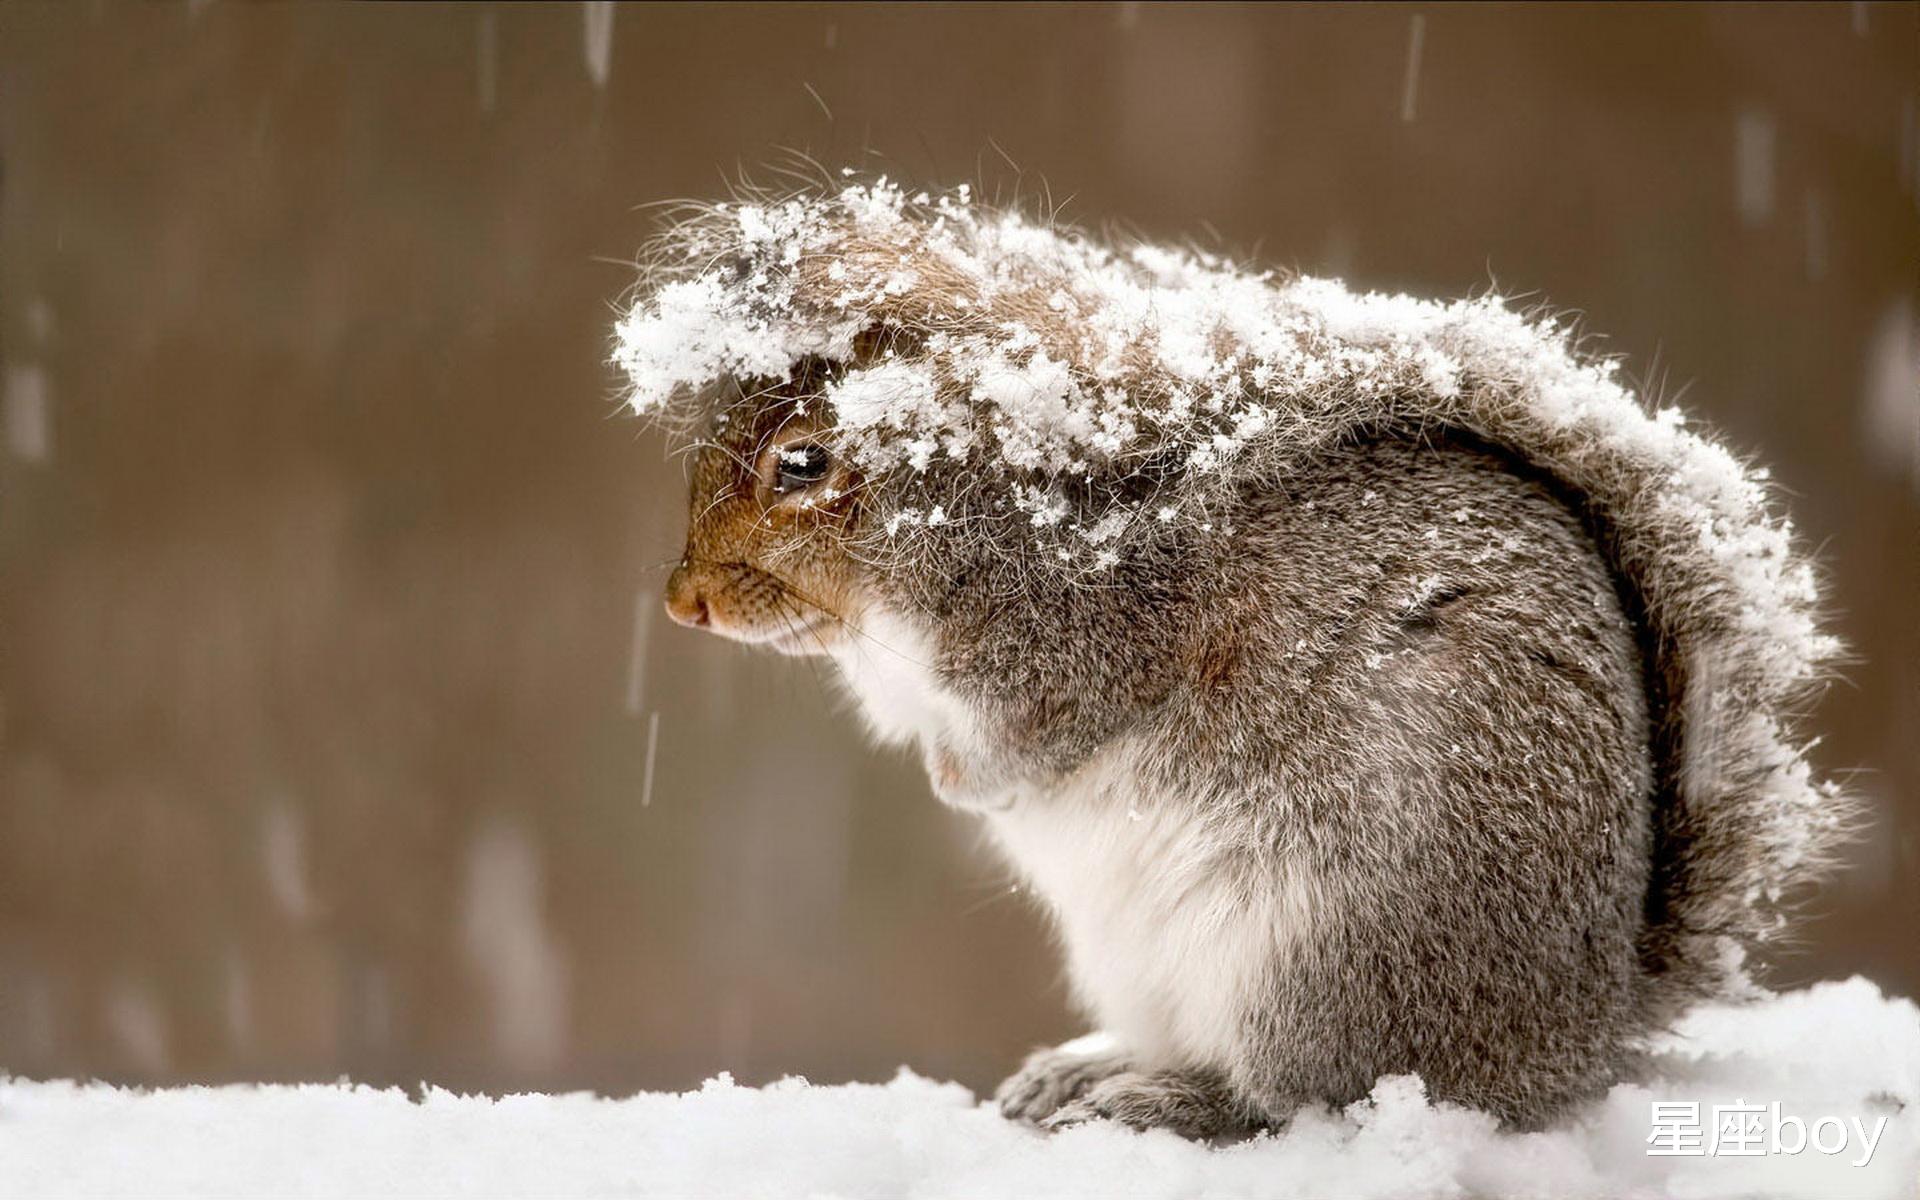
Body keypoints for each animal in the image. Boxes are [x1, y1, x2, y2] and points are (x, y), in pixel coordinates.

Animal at [610, 177, 1843, 1128]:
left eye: (804, 464)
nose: (682, 603)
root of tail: (1572, 1037)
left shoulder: (1093, 638)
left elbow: (1043, 735)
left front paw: (971, 784)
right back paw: (1093, 1068)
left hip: (1321, 952)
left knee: (1299, 1096)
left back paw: (1170, 1101)